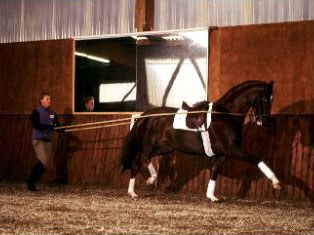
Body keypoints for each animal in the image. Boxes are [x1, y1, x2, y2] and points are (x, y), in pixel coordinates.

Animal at [121, 80, 280, 201]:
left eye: (272, 100)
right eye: (266, 99)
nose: (266, 122)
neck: (225, 115)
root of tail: (144, 115)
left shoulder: (221, 155)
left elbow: (215, 172)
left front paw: (211, 197)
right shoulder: (232, 149)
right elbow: (256, 159)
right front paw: (276, 182)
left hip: (164, 147)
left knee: (144, 158)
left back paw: (147, 182)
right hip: (149, 144)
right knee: (139, 160)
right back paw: (136, 190)